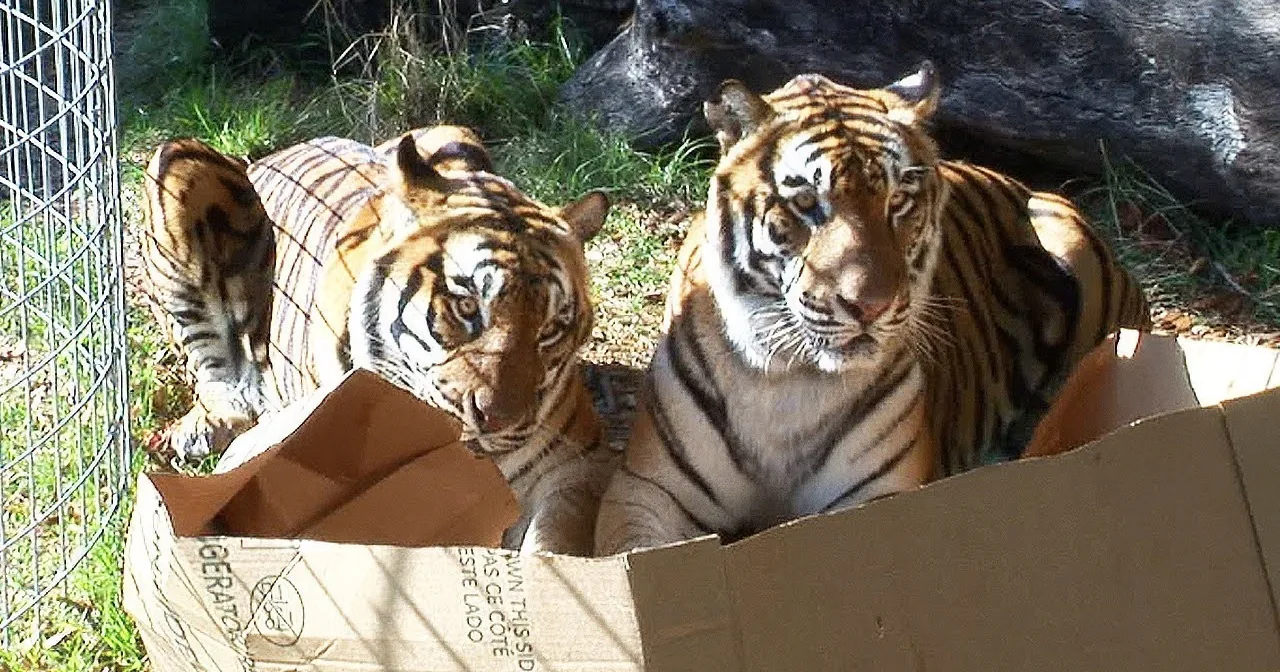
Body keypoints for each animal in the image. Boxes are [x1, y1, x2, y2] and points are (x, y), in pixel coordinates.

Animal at [142, 125, 615, 555]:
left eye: (549, 329)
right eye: (466, 306)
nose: (499, 421)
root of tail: (272, 154)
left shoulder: (574, 467)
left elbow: (555, 546)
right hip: (173, 161)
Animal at [594, 63, 1151, 555]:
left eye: (898, 201)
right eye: (806, 204)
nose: (870, 306)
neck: (787, 383)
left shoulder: (880, 499)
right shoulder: (644, 490)